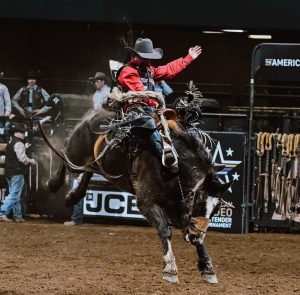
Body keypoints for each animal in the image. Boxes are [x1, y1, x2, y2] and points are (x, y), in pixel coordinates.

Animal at [39, 87, 231, 284]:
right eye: (199, 202)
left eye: (216, 210)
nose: (195, 236)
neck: (174, 168)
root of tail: (93, 115)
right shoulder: (147, 203)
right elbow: (165, 230)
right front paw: (170, 269)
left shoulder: (178, 208)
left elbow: (190, 231)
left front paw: (207, 268)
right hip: (75, 153)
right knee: (65, 154)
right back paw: (52, 184)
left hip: (95, 161)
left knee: (88, 170)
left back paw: (72, 196)